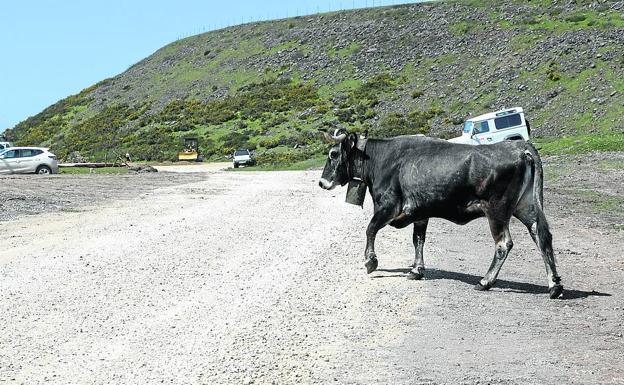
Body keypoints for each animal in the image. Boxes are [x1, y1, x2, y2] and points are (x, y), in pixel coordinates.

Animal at [320, 130, 564, 298]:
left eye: (333, 154)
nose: (322, 182)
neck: (382, 161)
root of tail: (521, 146)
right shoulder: (420, 212)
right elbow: (418, 239)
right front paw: (416, 270)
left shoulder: (388, 207)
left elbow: (370, 229)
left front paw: (370, 261)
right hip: (526, 207)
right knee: (542, 237)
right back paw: (554, 285)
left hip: (497, 211)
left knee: (504, 244)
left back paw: (485, 281)